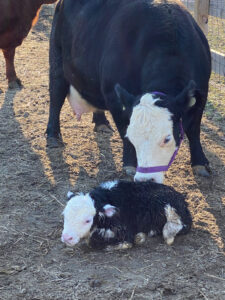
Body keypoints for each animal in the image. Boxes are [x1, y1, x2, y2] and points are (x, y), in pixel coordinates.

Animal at [45, 0, 211, 183]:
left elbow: (193, 129)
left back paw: (101, 122)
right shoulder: (114, 96)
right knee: (56, 96)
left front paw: (200, 163)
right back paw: (53, 136)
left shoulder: (202, 92)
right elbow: (124, 127)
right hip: (57, 59)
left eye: (167, 138)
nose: (146, 179)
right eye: (133, 138)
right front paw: (130, 164)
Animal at [61, 180, 192, 251]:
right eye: (65, 216)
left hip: (172, 212)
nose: (67, 238)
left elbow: (94, 241)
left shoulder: (124, 231)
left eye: (88, 220)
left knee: (171, 231)